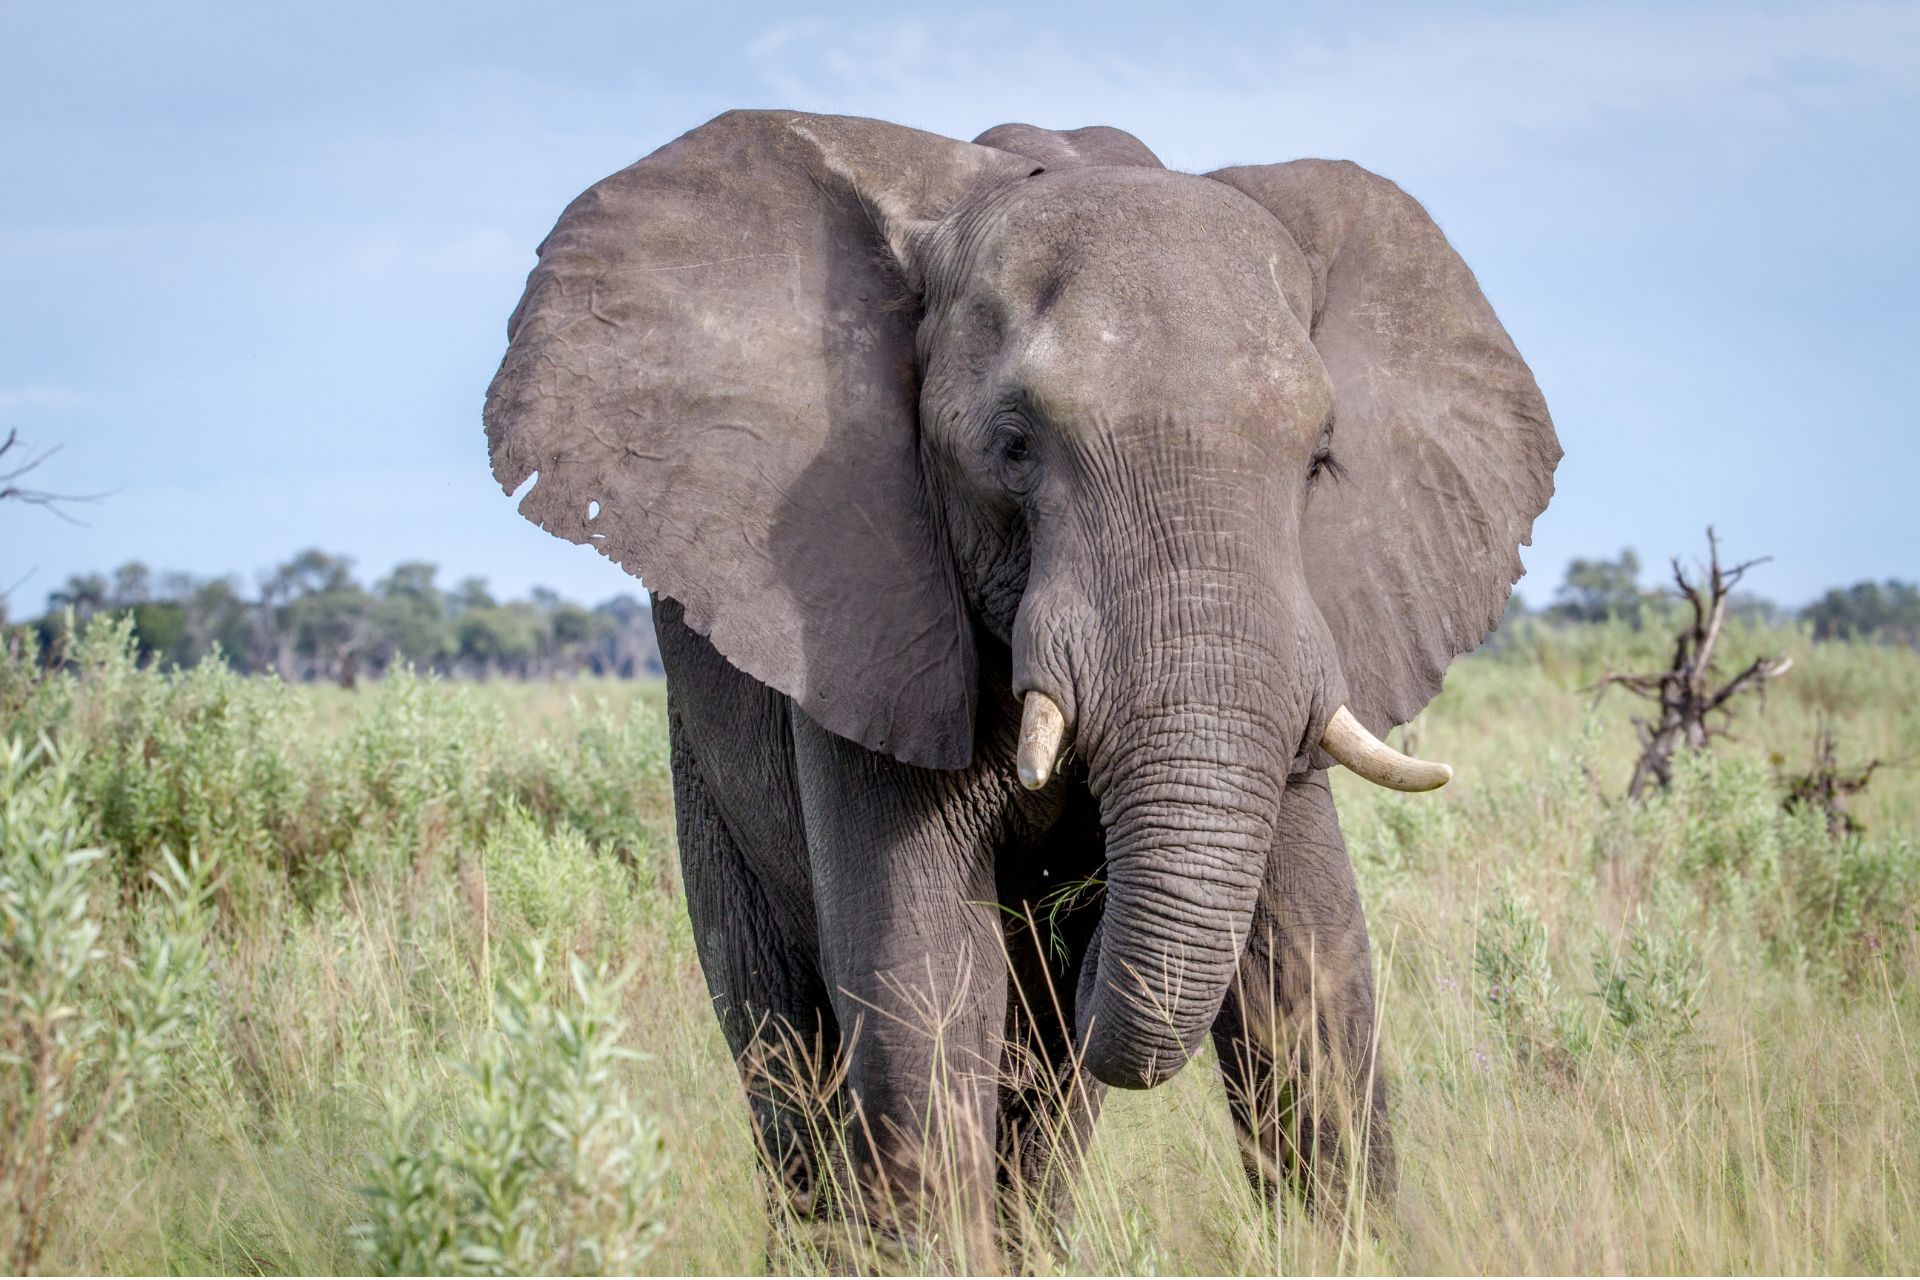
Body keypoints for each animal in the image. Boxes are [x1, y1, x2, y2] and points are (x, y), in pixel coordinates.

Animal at [484, 110, 1559, 1258]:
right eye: (1012, 447)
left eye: (1319, 460)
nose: (1080, 894)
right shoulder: (866, 619)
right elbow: (927, 985)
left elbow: (1312, 977)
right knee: (787, 1045)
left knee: (1044, 1083)